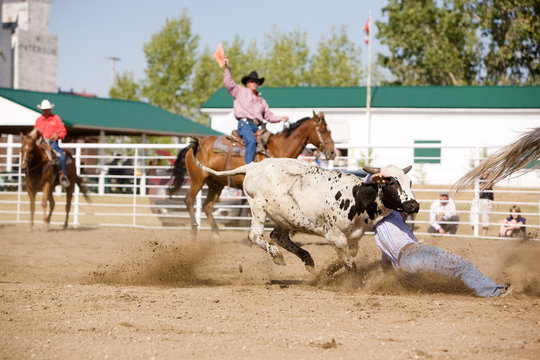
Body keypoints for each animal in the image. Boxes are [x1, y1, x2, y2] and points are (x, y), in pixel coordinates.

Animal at [170, 112, 338, 233]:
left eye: (329, 130)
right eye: (322, 130)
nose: (332, 153)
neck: (277, 150)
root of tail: (192, 146)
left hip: (215, 184)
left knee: (207, 206)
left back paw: (216, 234)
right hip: (197, 179)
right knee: (189, 200)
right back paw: (194, 229)